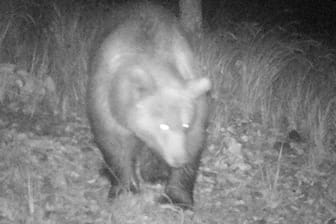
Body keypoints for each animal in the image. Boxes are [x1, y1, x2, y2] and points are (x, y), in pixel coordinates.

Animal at [87, 1, 210, 209]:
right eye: (163, 125)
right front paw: (124, 188)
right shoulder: (106, 100)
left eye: (185, 124)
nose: (178, 159)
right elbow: (114, 144)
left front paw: (177, 198)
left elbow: (194, 142)